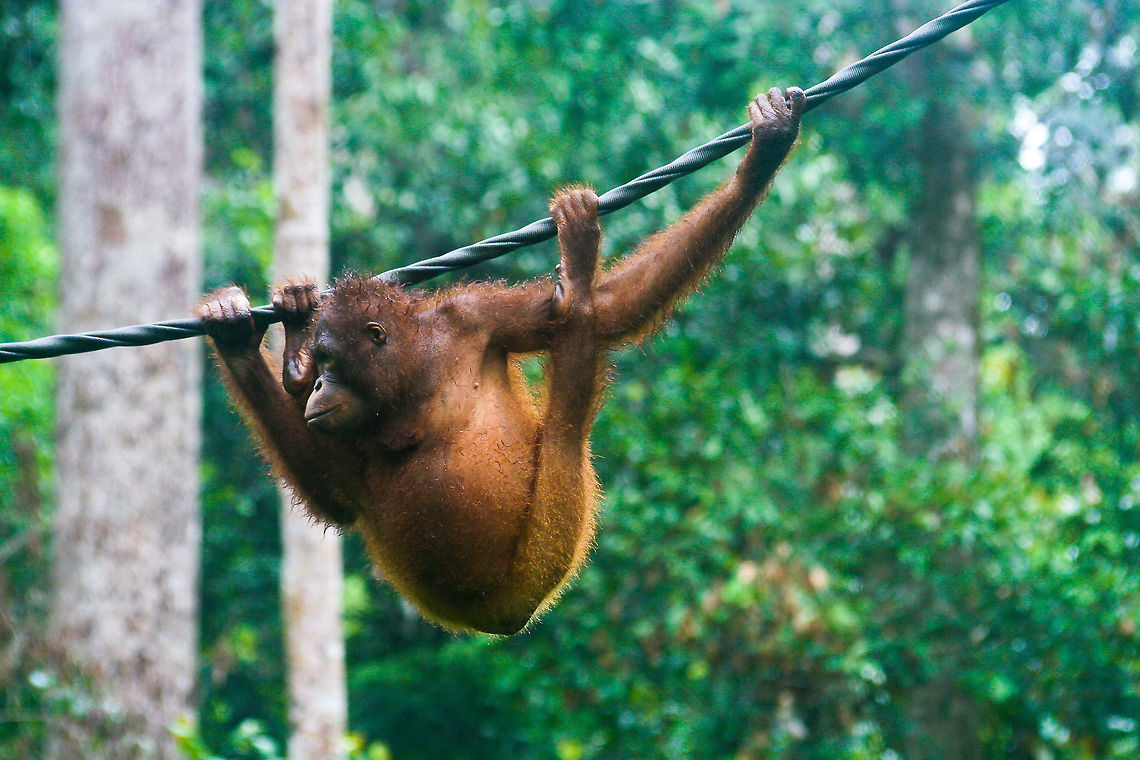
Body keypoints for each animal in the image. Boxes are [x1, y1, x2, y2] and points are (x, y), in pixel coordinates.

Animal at [197, 87, 805, 635]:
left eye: (332, 361)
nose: (318, 381)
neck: (411, 377)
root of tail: (504, 622)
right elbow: (335, 495)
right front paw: (235, 337)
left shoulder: (474, 318)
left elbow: (615, 310)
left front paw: (763, 154)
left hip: (548, 550)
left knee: (572, 396)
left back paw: (578, 268)